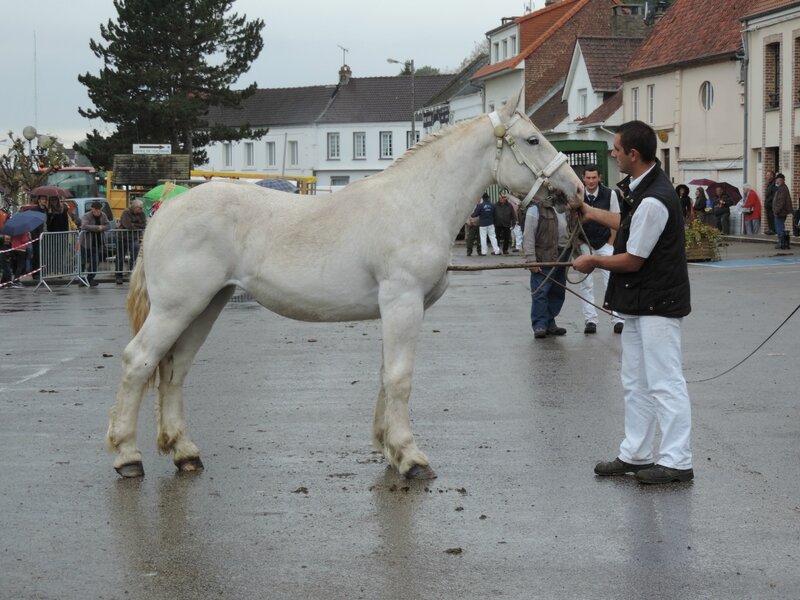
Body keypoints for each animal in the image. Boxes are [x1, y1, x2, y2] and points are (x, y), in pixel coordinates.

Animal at [104, 92, 580, 478]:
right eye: (533, 140)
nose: (573, 191)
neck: (417, 202)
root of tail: (165, 209)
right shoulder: (403, 302)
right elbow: (401, 378)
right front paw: (411, 458)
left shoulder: (397, 309)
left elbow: (386, 375)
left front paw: (390, 450)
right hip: (177, 308)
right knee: (139, 362)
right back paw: (128, 457)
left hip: (206, 305)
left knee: (175, 369)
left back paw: (185, 452)